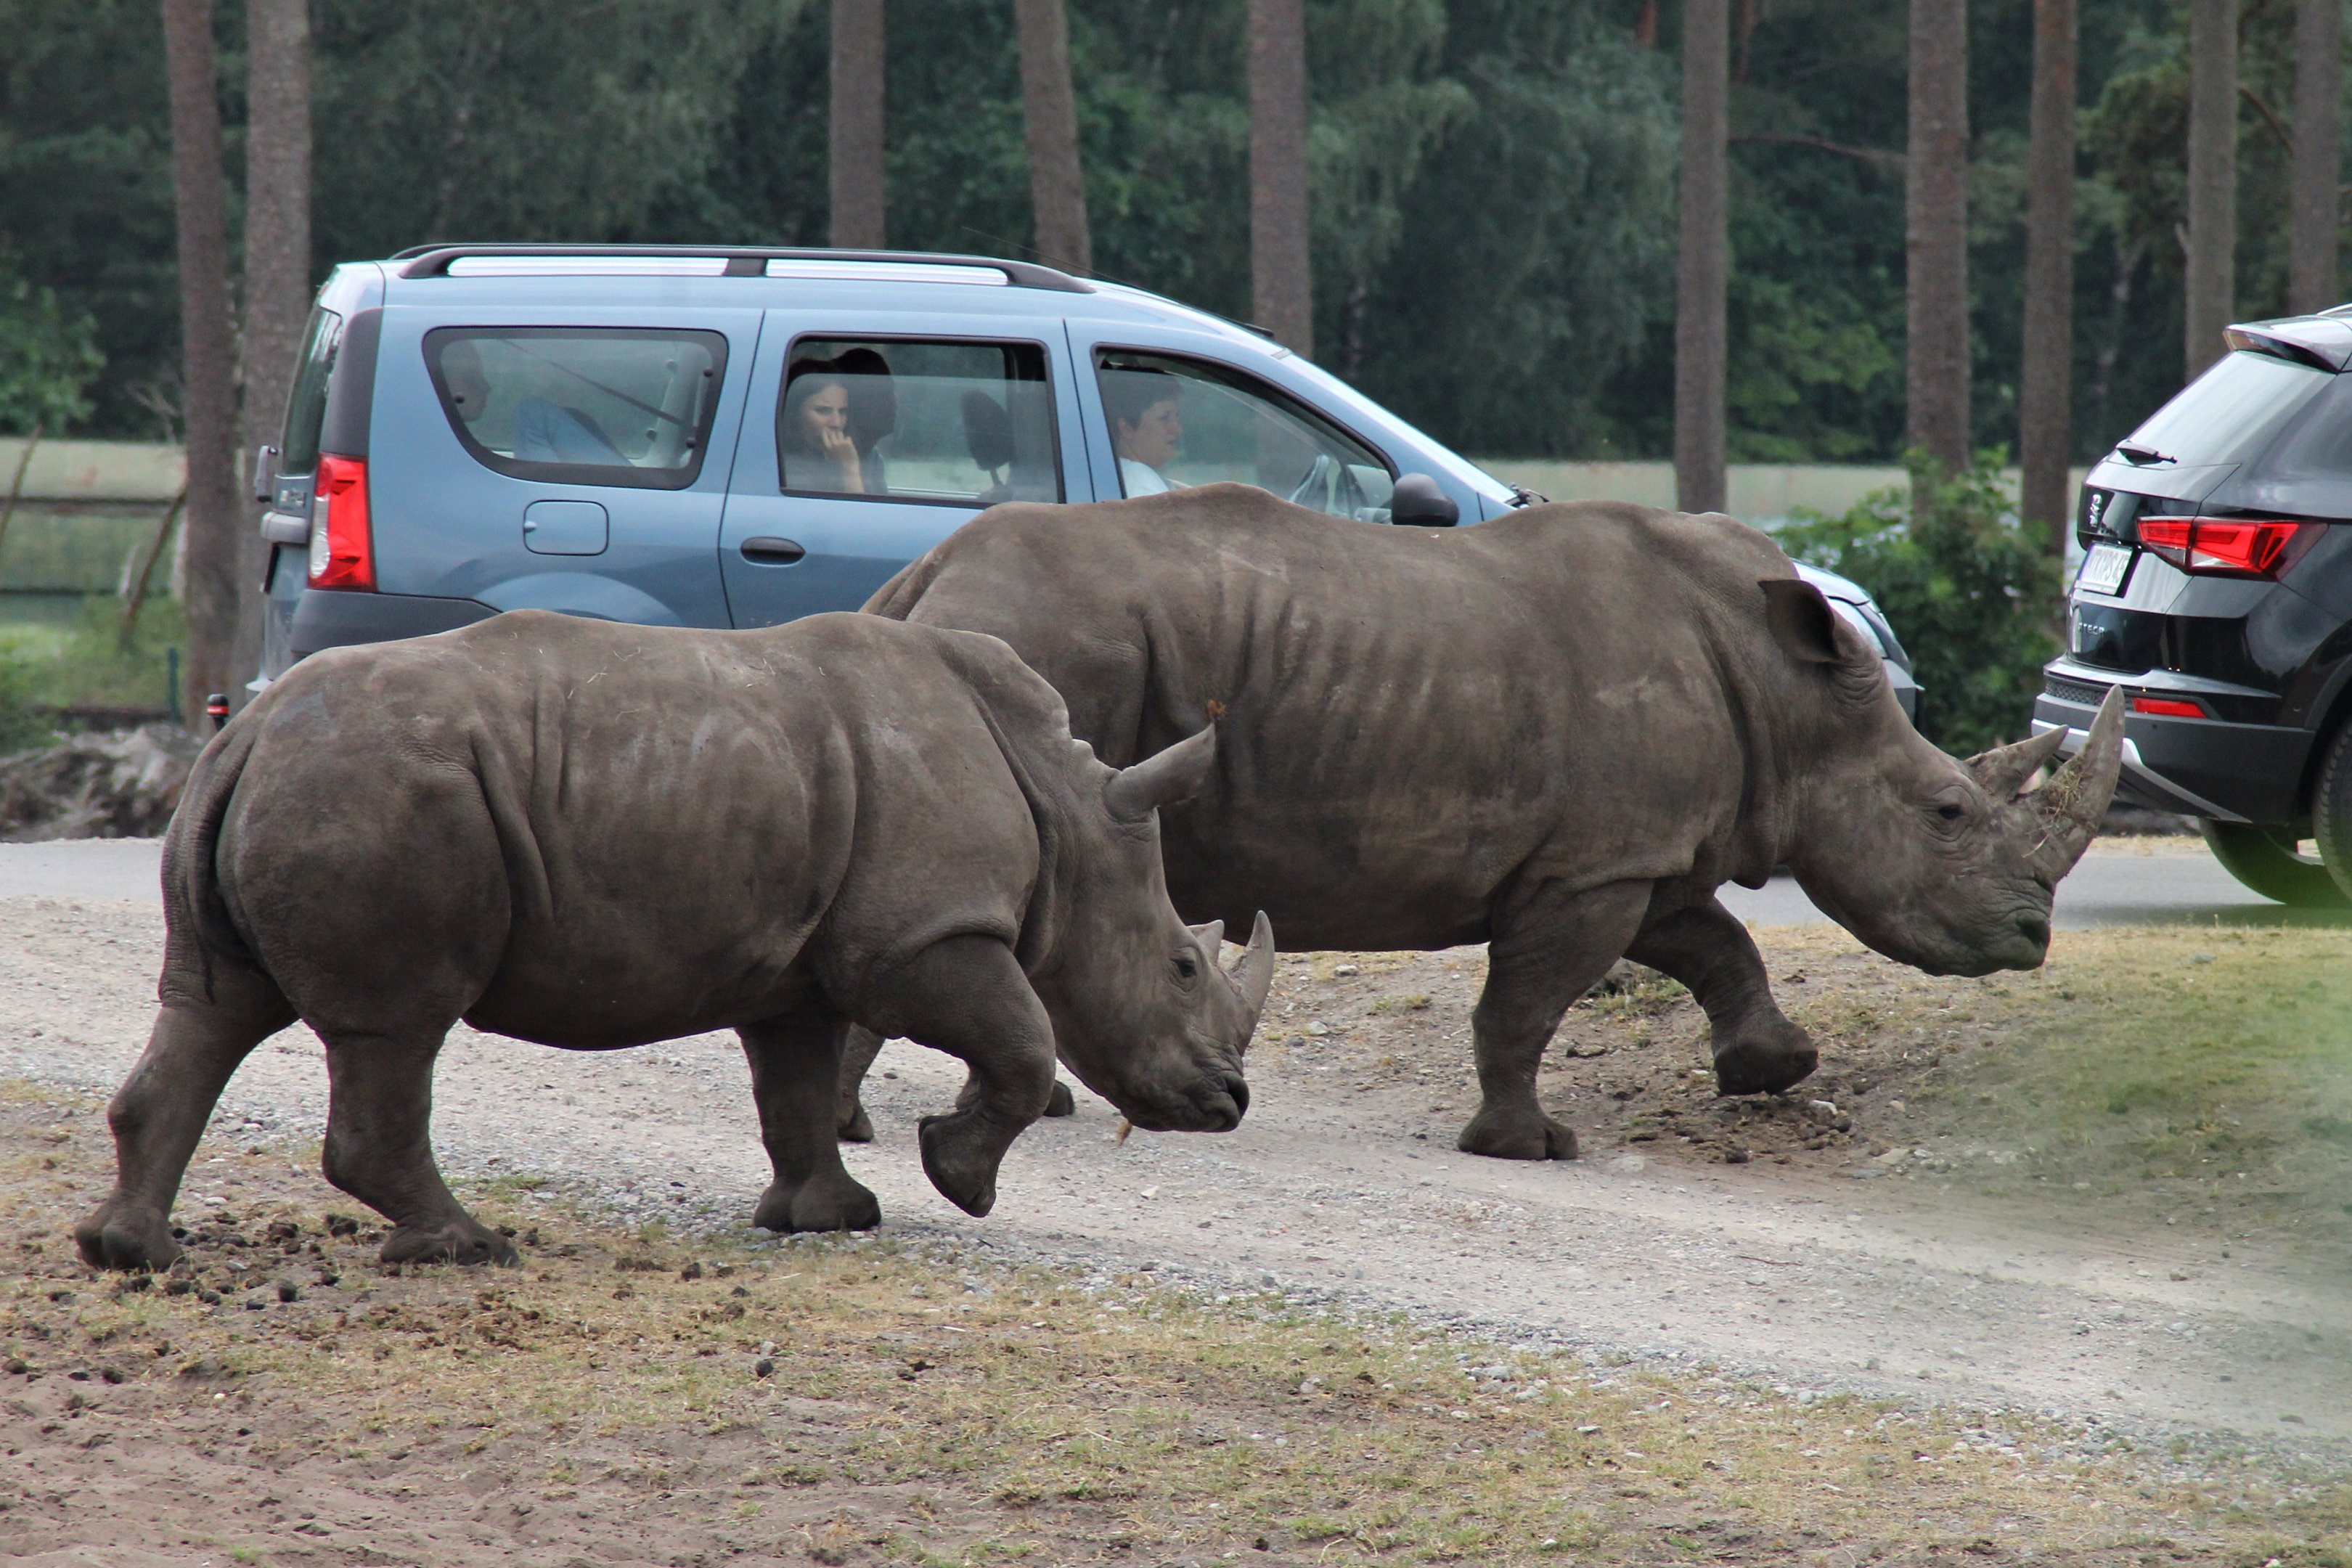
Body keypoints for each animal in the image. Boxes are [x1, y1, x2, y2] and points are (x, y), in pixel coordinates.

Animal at [76, 611, 1273, 1272]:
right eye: (1180, 967)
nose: (1229, 1105)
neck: (1068, 822)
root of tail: (246, 733)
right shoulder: (924, 937)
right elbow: (1022, 1041)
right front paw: (958, 1181)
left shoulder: (803, 964)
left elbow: (793, 1083)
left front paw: (829, 1219)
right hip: (379, 797)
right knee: (396, 1031)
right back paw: (469, 1250)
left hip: (289, 792)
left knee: (212, 1009)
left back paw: (131, 1254)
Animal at [847, 486, 2124, 1161]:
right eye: (1950, 811)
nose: (2032, 937)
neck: (1795, 700)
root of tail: (925, 577)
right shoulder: (1592, 868)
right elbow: (1529, 1002)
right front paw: (1527, 1146)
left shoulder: (1636, 854)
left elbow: (1714, 942)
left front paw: (1773, 1068)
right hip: (1058, 640)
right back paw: (868, 1130)